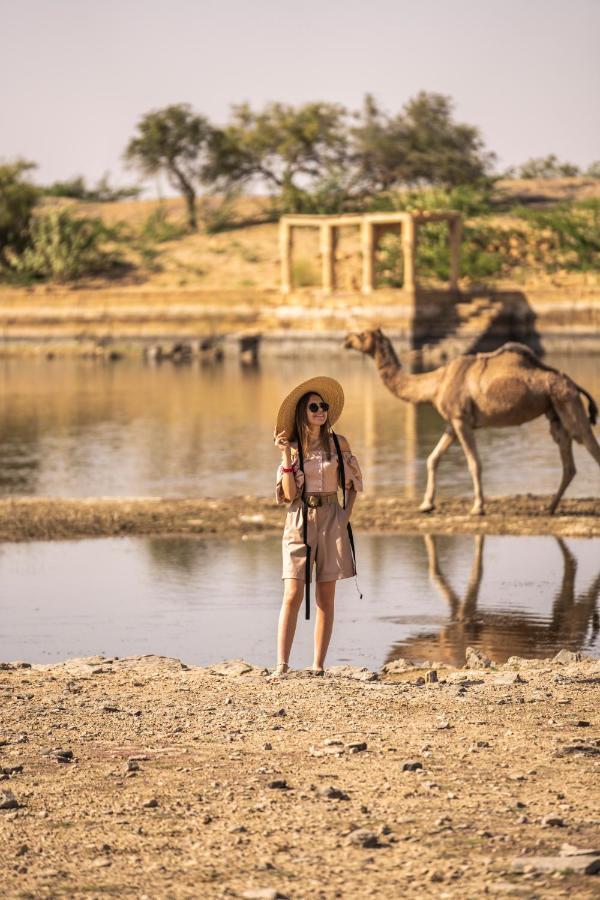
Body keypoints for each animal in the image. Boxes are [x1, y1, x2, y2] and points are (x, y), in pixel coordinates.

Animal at [344, 328, 600, 512]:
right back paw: (549, 507)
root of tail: (573, 383)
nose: (346, 339)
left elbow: (474, 463)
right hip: (554, 410)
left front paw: (478, 507)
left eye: (363, 334)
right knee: (568, 459)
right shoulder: (452, 421)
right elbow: (433, 458)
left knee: (587, 441)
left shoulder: (461, 420)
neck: (436, 384)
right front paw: (426, 504)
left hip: (567, 400)